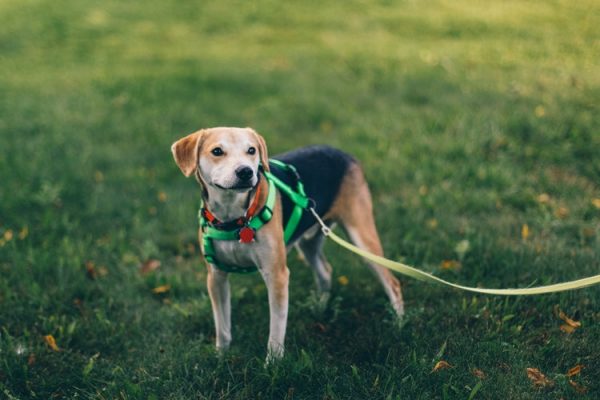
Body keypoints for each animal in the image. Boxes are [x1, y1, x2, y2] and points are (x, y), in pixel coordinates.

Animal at [171, 126, 404, 360]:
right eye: (217, 151)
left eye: (251, 150)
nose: (246, 172)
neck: (235, 218)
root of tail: (343, 153)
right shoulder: (216, 276)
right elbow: (222, 326)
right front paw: (221, 356)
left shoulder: (277, 275)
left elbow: (276, 330)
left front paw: (272, 363)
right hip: (309, 242)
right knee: (325, 270)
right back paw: (320, 306)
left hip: (362, 237)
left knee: (392, 283)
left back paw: (399, 323)